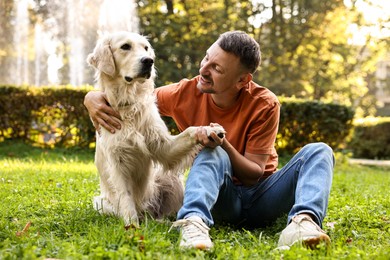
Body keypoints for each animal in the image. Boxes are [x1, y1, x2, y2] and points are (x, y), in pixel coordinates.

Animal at [85, 31, 225, 226]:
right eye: (125, 46)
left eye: (145, 48)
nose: (148, 61)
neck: (128, 104)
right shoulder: (117, 161)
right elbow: (126, 196)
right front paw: (132, 226)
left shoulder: (162, 146)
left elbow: (189, 131)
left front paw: (208, 130)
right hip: (101, 202)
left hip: (169, 179)